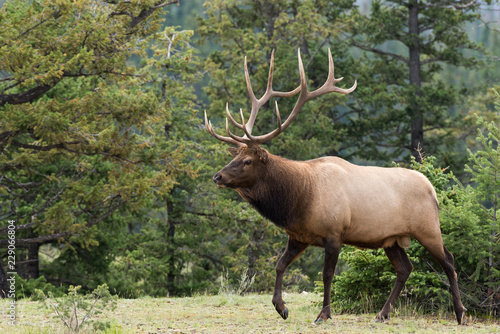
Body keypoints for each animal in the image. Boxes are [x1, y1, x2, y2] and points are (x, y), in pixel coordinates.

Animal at [202, 49, 464, 324]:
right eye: (235, 156)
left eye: (247, 160)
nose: (218, 176)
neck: (299, 199)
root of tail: (432, 189)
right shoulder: (298, 236)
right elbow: (280, 264)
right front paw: (281, 307)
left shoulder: (334, 233)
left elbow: (327, 275)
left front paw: (324, 313)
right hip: (391, 239)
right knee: (405, 268)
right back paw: (382, 314)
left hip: (428, 228)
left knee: (449, 262)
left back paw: (460, 313)